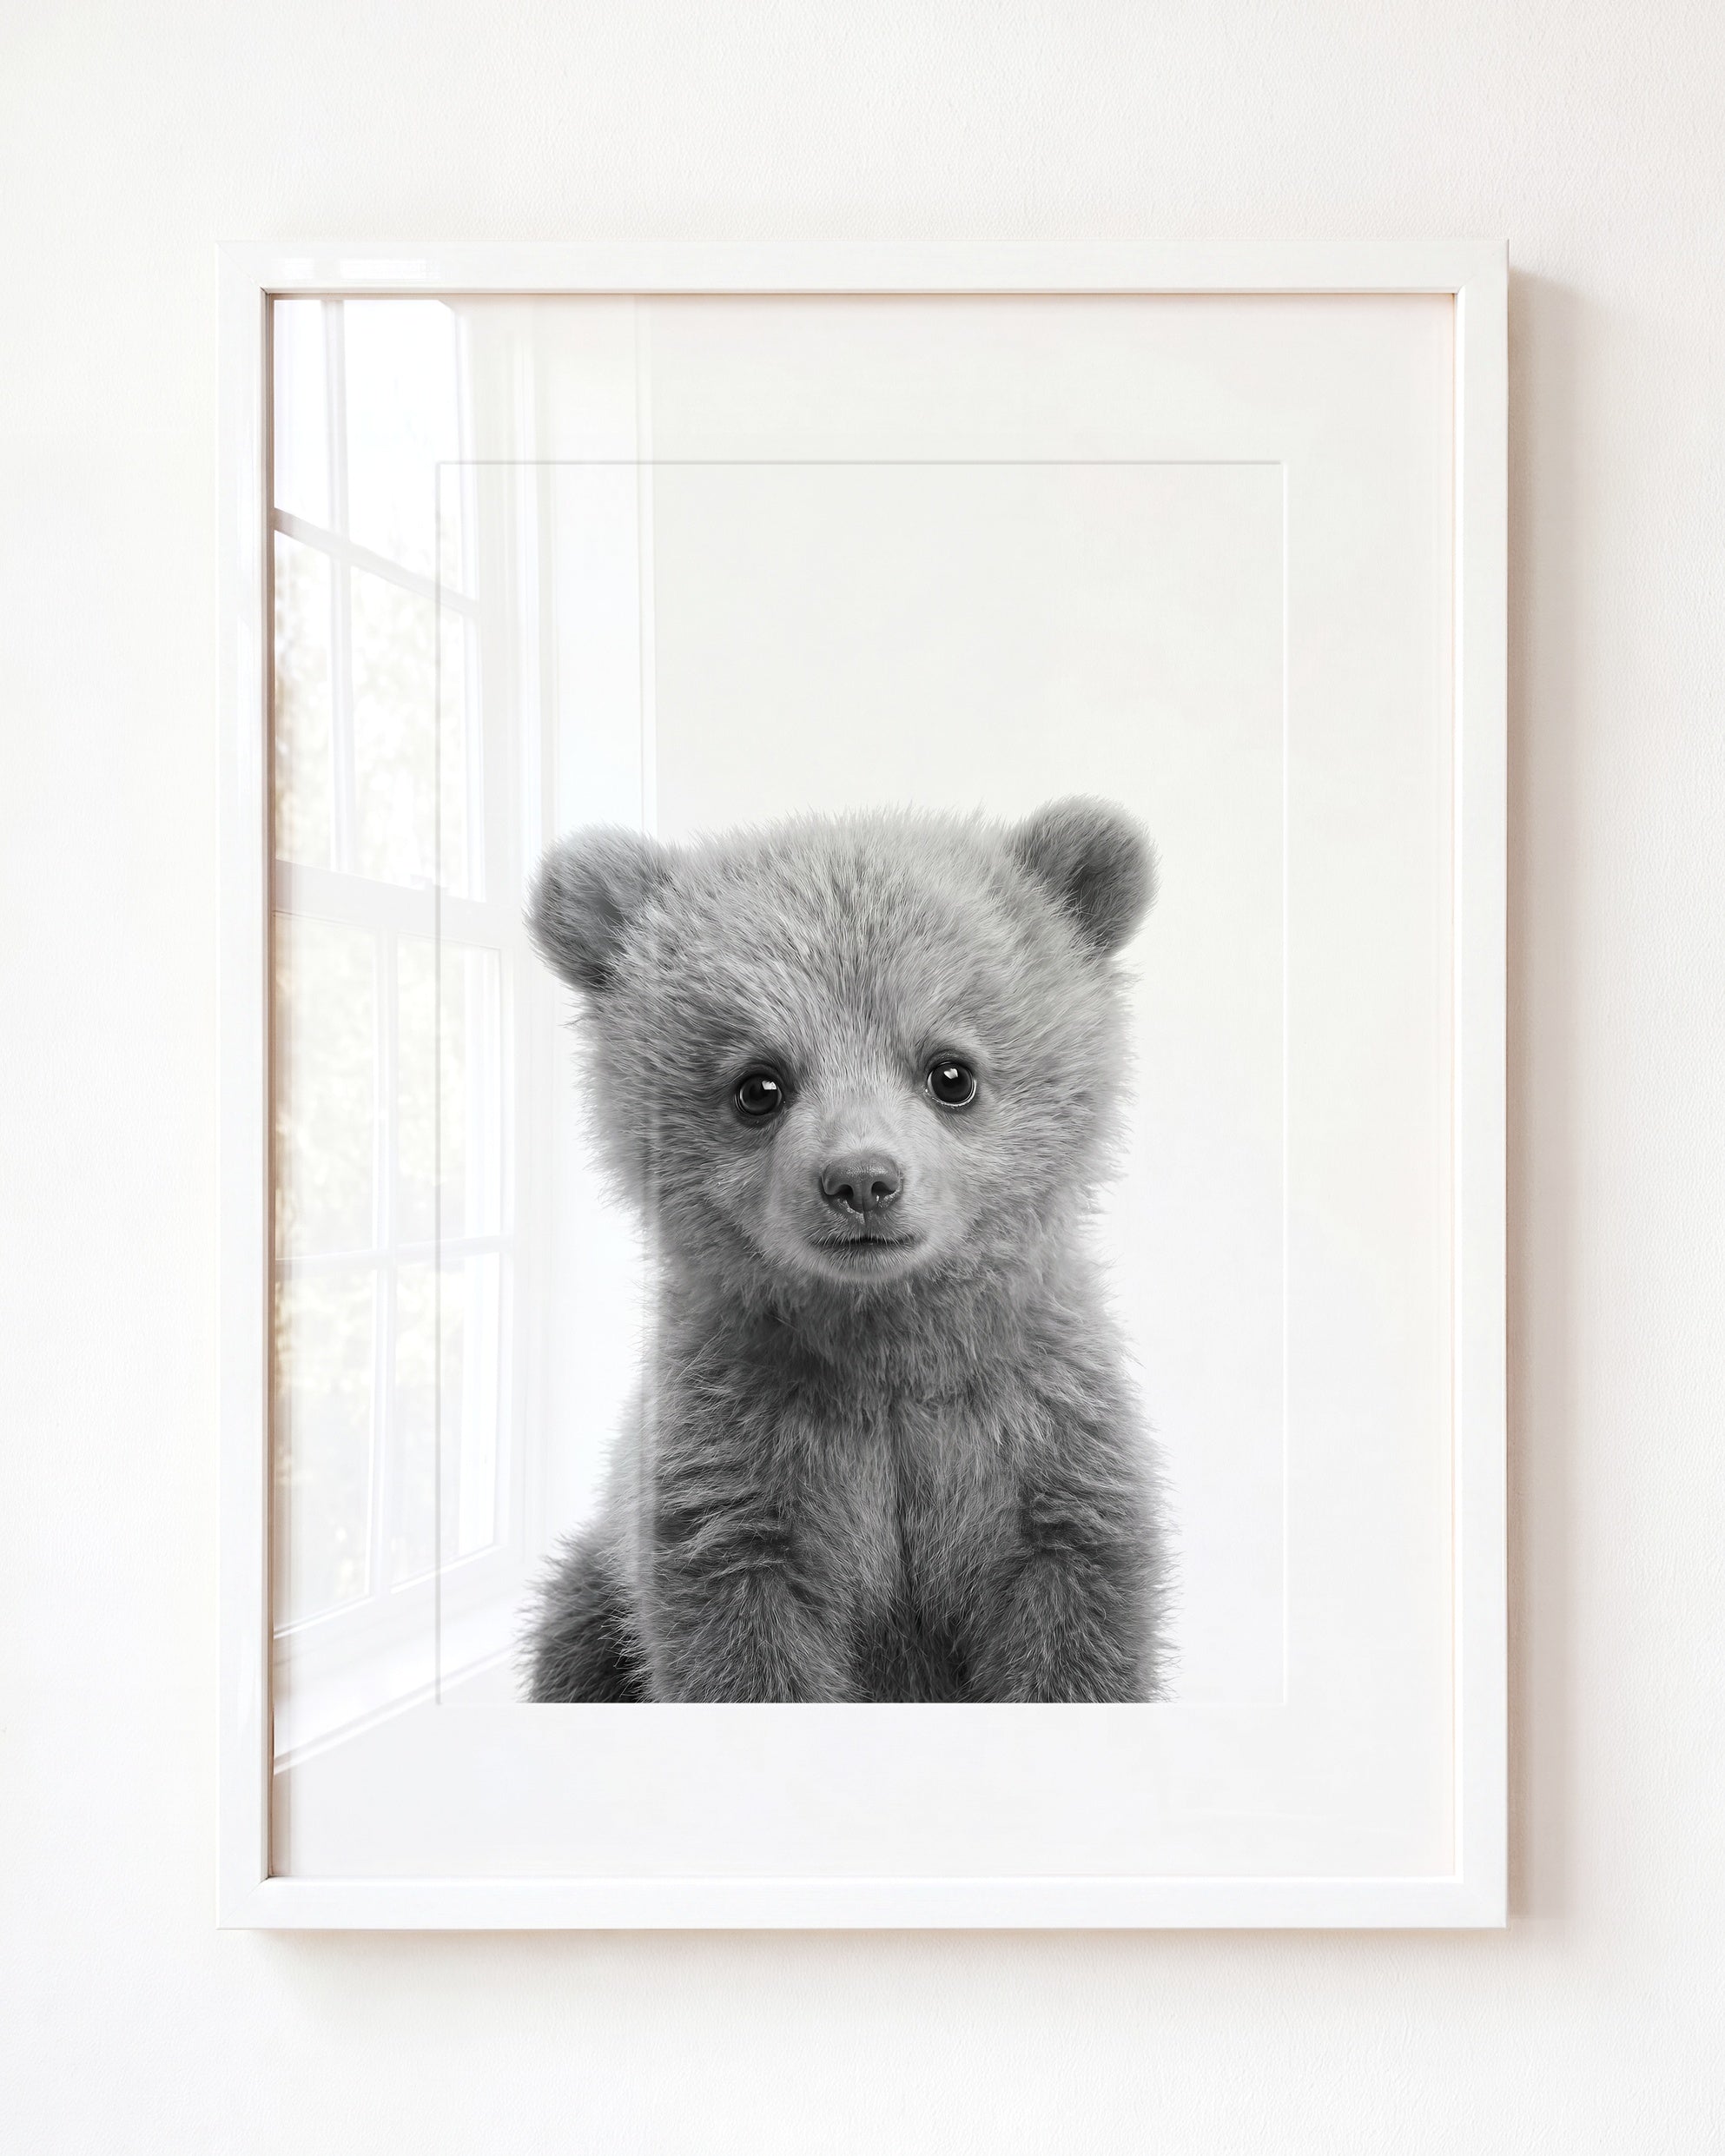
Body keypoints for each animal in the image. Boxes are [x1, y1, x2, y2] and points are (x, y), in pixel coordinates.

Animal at [521, 797, 1171, 1703]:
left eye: (951, 1072)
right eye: (758, 1085)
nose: (862, 1181)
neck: (884, 1347)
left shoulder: (1040, 1452)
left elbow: (1074, 1636)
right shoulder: (739, 1477)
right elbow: (744, 1650)